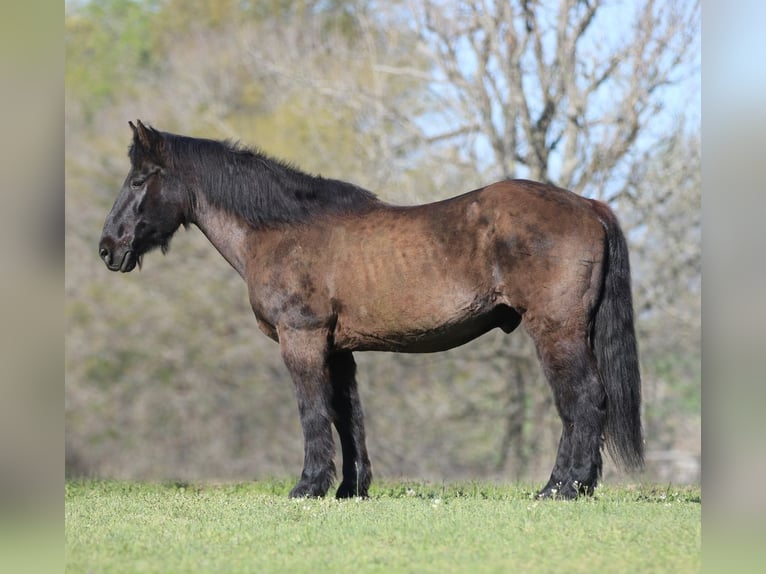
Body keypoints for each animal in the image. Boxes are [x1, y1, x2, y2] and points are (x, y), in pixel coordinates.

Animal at [99, 120, 643, 499]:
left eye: (141, 179)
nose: (108, 248)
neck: (279, 229)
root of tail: (589, 206)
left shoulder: (302, 339)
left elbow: (313, 411)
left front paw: (308, 486)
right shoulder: (338, 350)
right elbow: (347, 415)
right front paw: (350, 488)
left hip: (557, 332)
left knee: (582, 400)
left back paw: (563, 488)